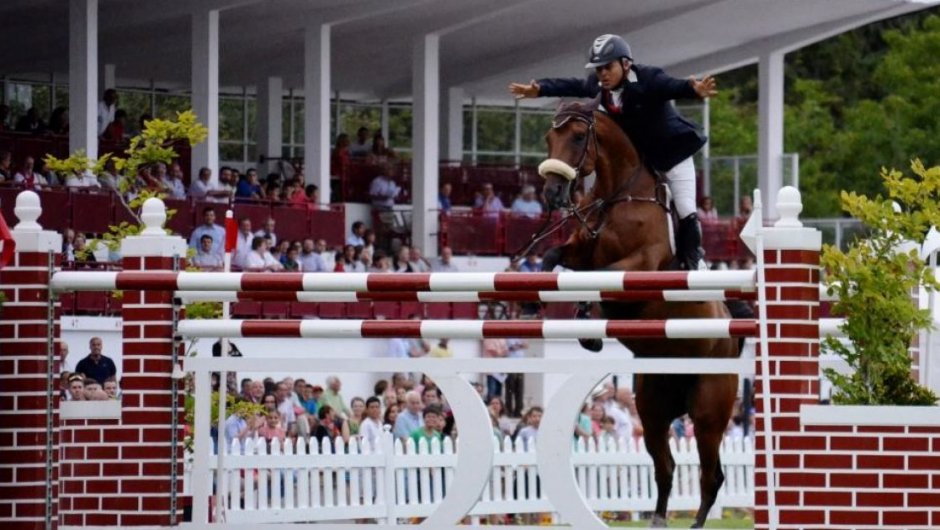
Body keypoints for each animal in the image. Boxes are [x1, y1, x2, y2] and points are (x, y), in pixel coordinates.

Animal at [536, 101, 740, 524]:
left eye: (577, 137)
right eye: (549, 137)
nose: (552, 193)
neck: (618, 197)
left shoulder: (639, 265)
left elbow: (598, 276)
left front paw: (588, 322)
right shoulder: (580, 249)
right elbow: (557, 258)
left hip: (708, 412)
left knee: (710, 476)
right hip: (652, 409)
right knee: (666, 467)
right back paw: (659, 518)